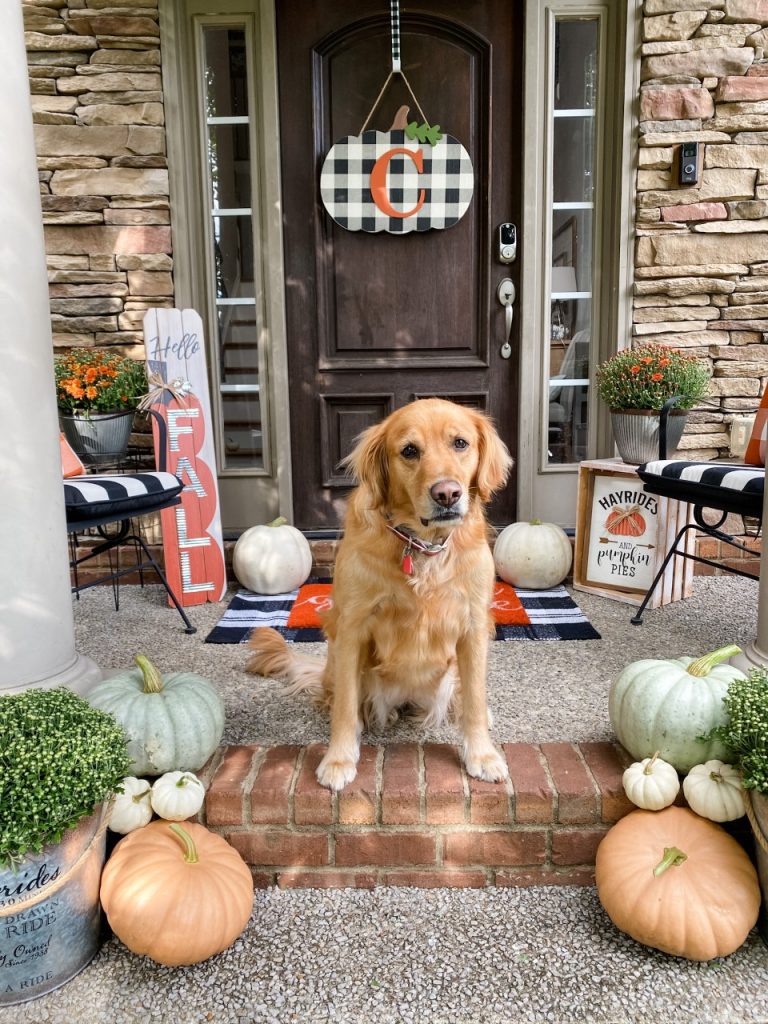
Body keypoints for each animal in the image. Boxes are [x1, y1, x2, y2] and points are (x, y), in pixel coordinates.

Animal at [246, 395, 512, 786]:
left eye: (460, 443)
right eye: (409, 451)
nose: (447, 494)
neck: (422, 546)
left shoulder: (474, 624)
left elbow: (476, 699)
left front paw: (482, 754)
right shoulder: (352, 627)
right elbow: (345, 708)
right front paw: (339, 759)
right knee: (338, 697)